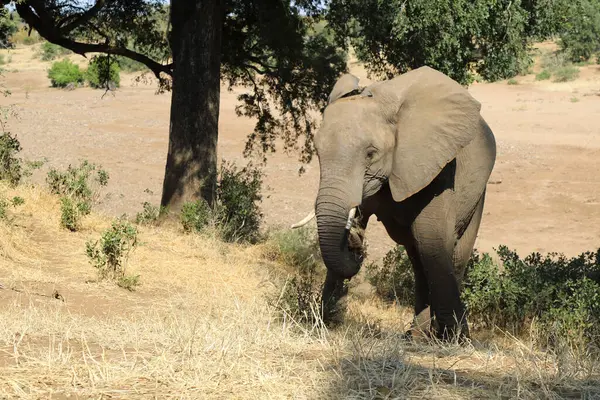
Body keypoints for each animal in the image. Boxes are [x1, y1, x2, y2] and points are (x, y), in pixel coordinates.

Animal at [292, 65, 496, 340]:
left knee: (449, 254)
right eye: (318, 152)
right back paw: (415, 335)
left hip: (478, 192)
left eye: (371, 154)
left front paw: (455, 340)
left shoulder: (436, 166)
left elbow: (431, 238)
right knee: (418, 258)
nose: (355, 242)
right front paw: (325, 322)